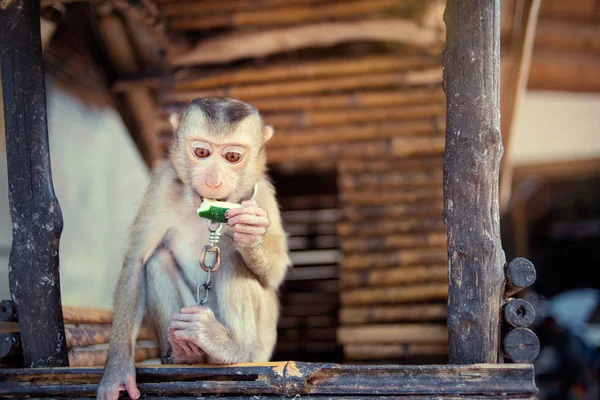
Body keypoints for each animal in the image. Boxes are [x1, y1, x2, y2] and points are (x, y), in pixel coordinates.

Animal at [97, 97, 292, 400]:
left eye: (232, 157)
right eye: (201, 152)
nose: (213, 181)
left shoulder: (262, 194)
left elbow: (276, 272)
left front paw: (252, 233)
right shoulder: (162, 184)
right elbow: (137, 261)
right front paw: (116, 371)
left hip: (262, 345)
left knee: (233, 256)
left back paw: (232, 347)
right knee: (157, 262)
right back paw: (185, 353)